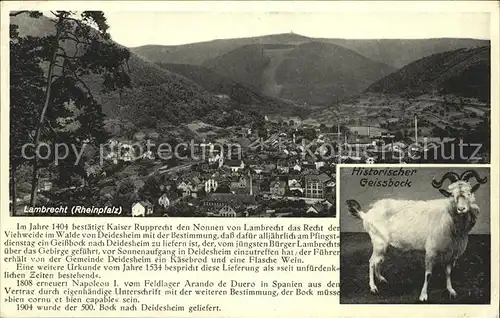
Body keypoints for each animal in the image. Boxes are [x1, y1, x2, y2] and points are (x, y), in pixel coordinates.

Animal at [346, 169, 486, 300]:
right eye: (452, 194)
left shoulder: (452, 253)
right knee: (372, 262)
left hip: (383, 245)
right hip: (378, 242)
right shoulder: (431, 251)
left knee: (378, 261)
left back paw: (381, 278)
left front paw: (451, 291)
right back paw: (373, 287)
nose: (461, 209)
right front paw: (423, 296)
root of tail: (367, 214)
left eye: (469, 193)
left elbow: (448, 272)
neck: (449, 218)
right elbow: (428, 274)